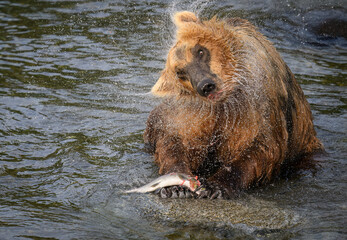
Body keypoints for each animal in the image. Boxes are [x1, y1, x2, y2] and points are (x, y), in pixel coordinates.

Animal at [143, 11, 324, 199]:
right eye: (180, 72)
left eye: (200, 51)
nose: (206, 86)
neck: (228, 101)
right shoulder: (196, 114)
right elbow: (175, 140)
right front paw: (175, 185)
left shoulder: (257, 102)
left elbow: (262, 146)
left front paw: (215, 186)